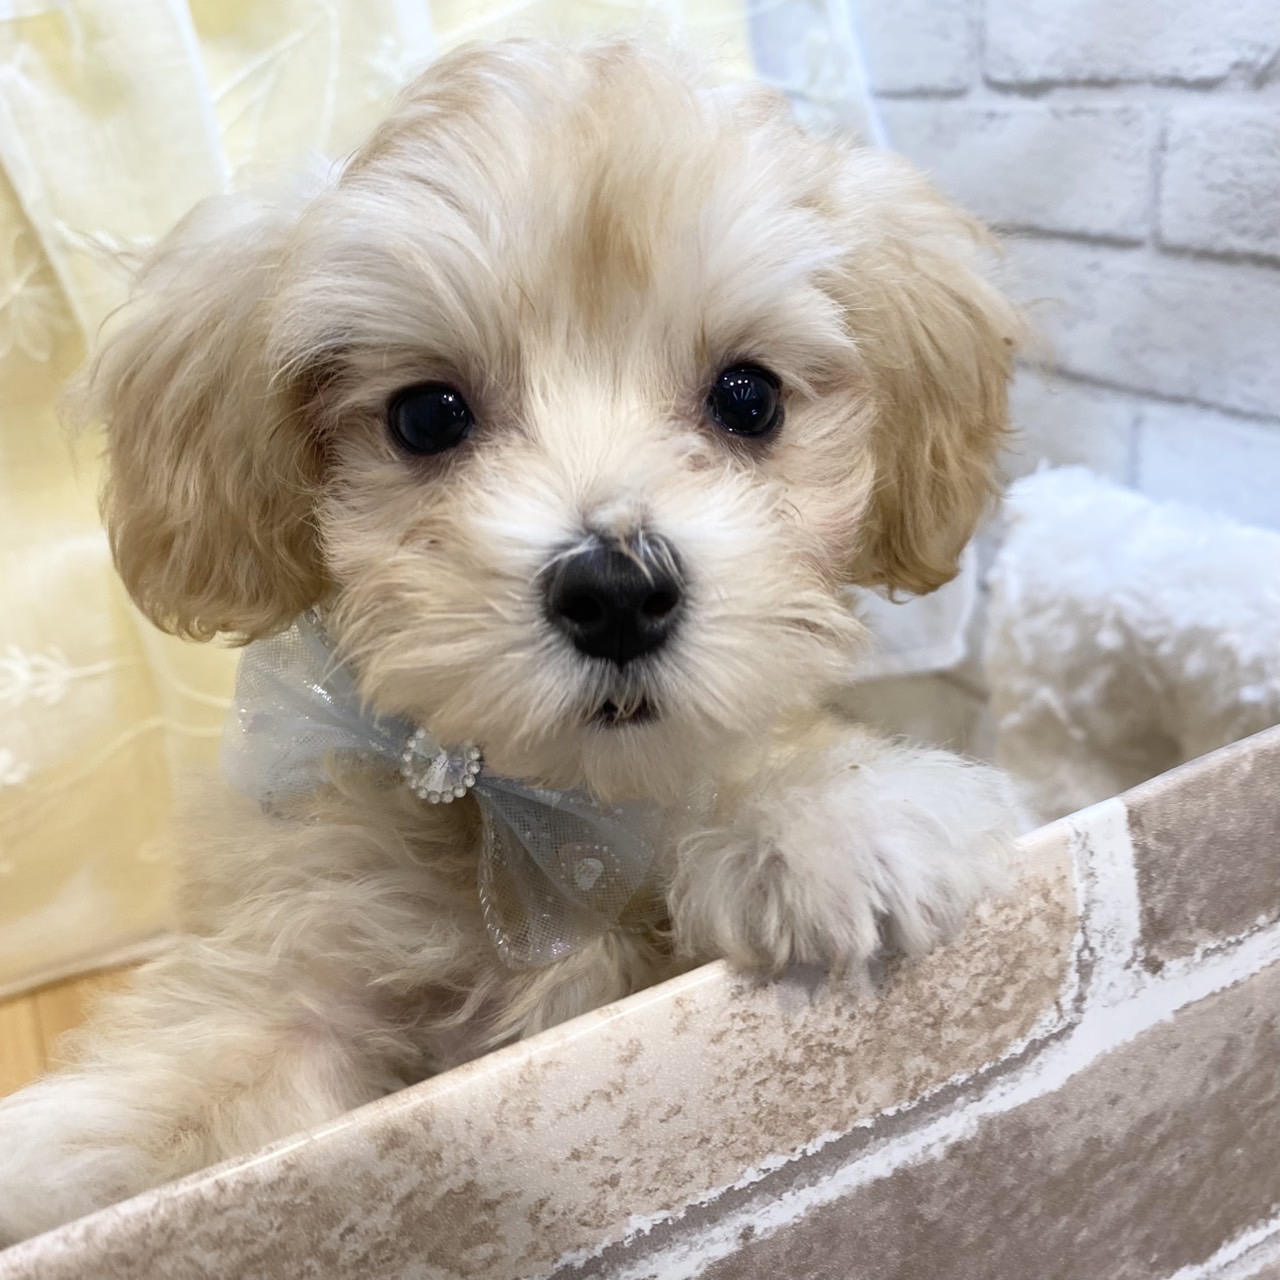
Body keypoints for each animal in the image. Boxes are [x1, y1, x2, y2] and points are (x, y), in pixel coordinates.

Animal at [0, 36, 1024, 1245]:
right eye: (426, 416)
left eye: (748, 398)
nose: (617, 590)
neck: (552, 815)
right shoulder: (307, 959)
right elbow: (200, 1092)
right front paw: (66, 1179)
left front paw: (832, 818)